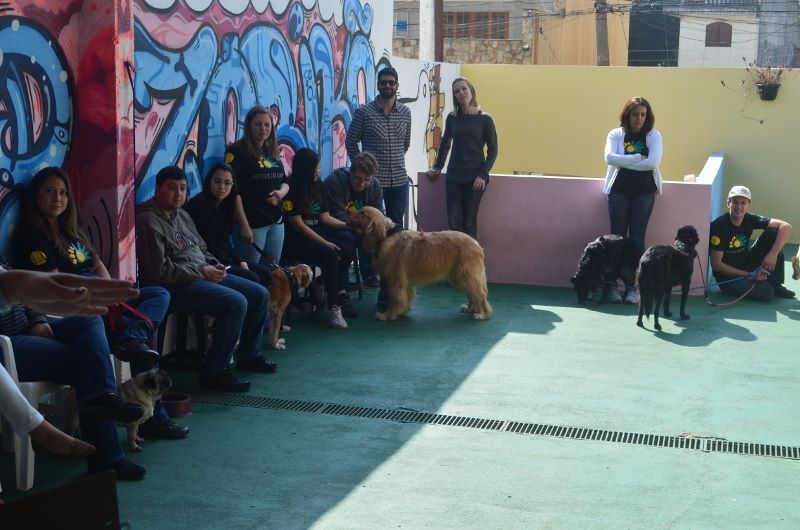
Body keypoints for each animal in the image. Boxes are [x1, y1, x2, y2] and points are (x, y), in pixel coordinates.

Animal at [347, 206, 492, 321]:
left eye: (363, 213)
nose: (347, 211)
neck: (386, 236)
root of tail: (476, 244)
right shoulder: (406, 283)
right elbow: (406, 298)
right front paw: (403, 311)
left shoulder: (396, 282)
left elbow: (394, 300)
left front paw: (388, 315)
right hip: (460, 277)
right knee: (472, 295)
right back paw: (471, 309)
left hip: (465, 276)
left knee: (480, 295)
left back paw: (482, 314)